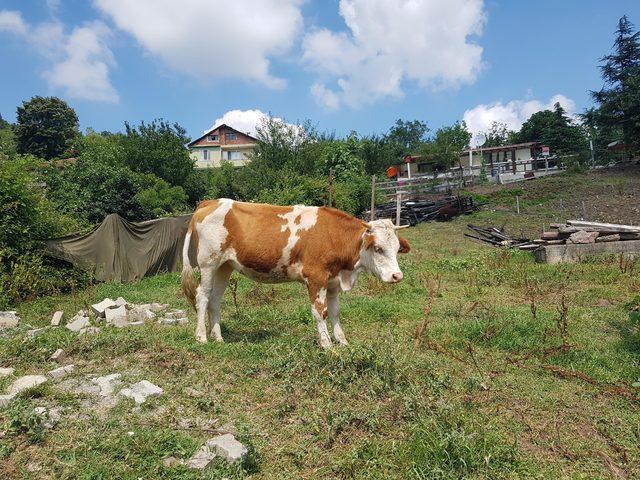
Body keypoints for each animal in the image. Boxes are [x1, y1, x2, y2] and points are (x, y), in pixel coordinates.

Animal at [180, 199, 410, 348]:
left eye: (397, 248)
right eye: (378, 248)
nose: (397, 276)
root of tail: (211, 202)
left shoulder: (333, 282)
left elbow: (335, 312)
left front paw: (342, 341)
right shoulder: (316, 278)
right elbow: (320, 312)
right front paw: (326, 344)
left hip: (224, 266)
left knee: (215, 300)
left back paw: (218, 338)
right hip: (208, 263)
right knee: (202, 296)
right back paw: (202, 337)